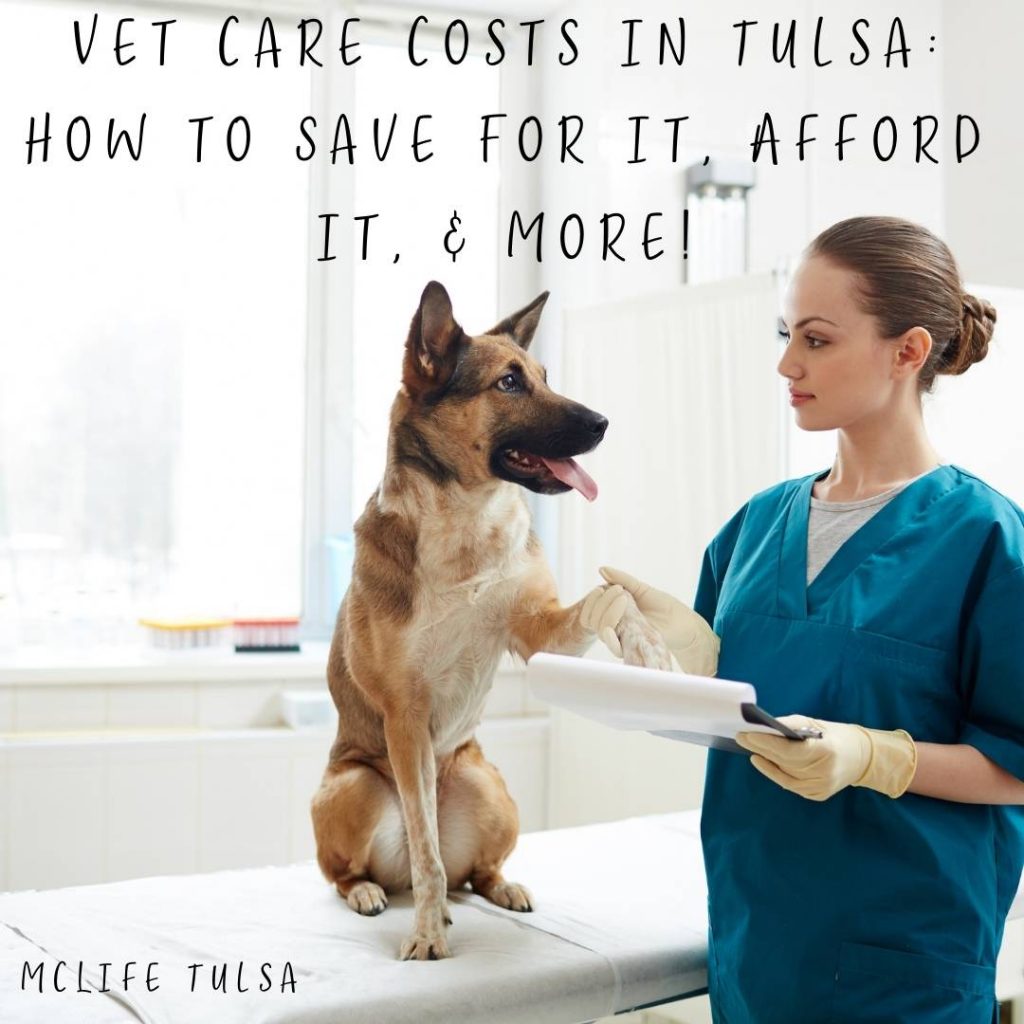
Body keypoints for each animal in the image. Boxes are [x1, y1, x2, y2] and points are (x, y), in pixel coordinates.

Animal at [307, 280, 667, 958]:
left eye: (545, 376)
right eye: (508, 383)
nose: (603, 424)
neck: (466, 520)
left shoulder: (536, 633)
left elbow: (610, 597)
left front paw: (645, 641)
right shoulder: (405, 716)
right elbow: (426, 851)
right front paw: (426, 934)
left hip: (488, 787)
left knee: (474, 872)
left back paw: (503, 888)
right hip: (354, 786)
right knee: (375, 867)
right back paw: (372, 893)